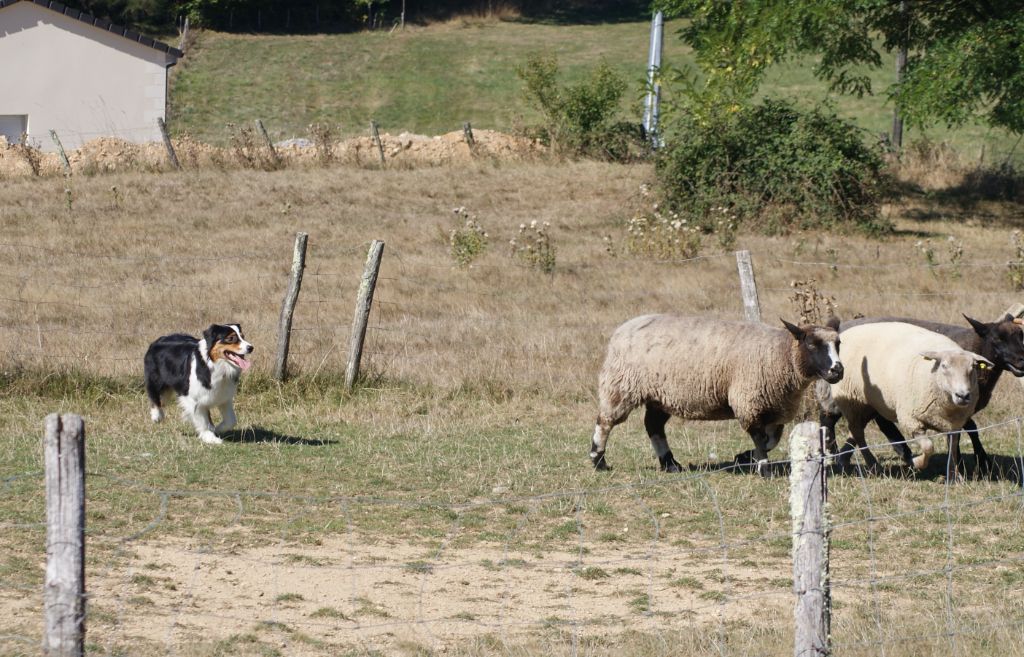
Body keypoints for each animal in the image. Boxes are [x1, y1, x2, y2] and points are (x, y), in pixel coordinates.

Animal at [593, 313, 839, 470]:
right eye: (812, 344)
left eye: (838, 344)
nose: (838, 370)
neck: (778, 353)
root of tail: (622, 329)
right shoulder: (748, 401)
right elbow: (759, 438)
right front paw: (762, 467)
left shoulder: (774, 409)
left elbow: (771, 440)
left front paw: (744, 457)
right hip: (621, 385)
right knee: (605, 421)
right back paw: (598, 460)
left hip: (659, 395)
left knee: (653, 426)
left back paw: (670, 463)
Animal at [831, 319, 991, 468]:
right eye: (944, 366)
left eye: (972, 368)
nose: (962, 395)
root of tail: (847, 332)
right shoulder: (911, 420)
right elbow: (928, 447)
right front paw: (917, 462)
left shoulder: (954, 426)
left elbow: (952, 452)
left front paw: (954, 475)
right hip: (852, 399)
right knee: (857, 431)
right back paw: (872, 464)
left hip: (869, 404)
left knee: (855, 430)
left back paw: (843, 459)